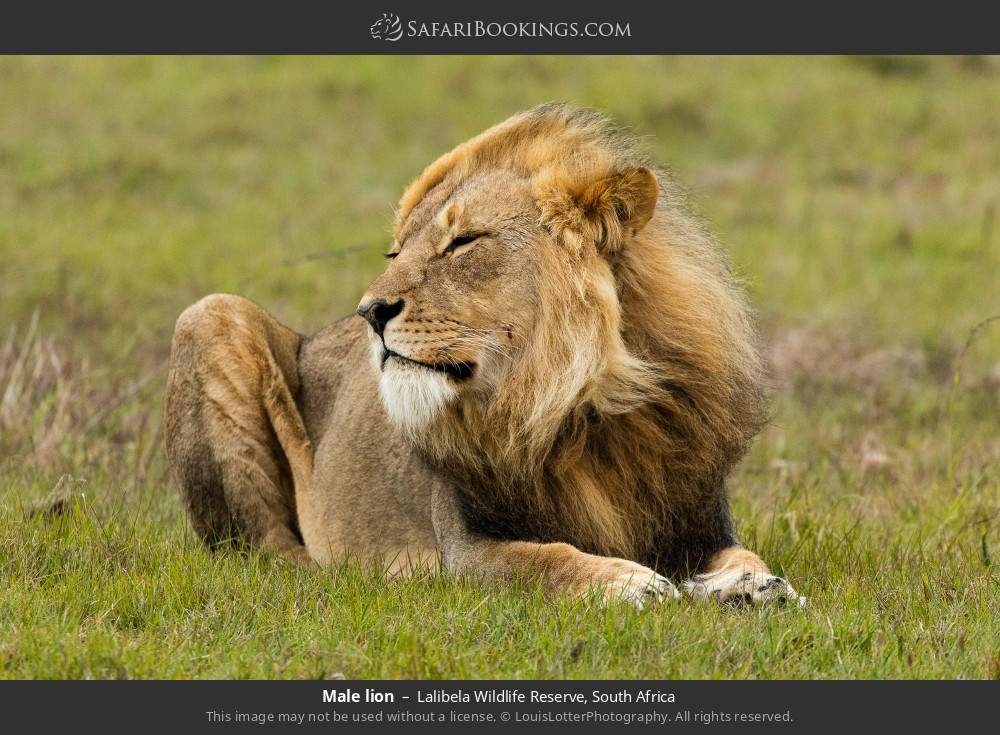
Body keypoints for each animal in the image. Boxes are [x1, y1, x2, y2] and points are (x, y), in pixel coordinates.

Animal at [165, 103, 804, 607]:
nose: (369, 311)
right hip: (210, 315)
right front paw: (628, 582)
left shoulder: (700, 519)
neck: (584, 409)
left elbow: (745, 555)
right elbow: (545, 560)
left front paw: (757, 587)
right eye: (397, 251)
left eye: (462, 242)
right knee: (262, 553)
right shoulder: (463, 551)